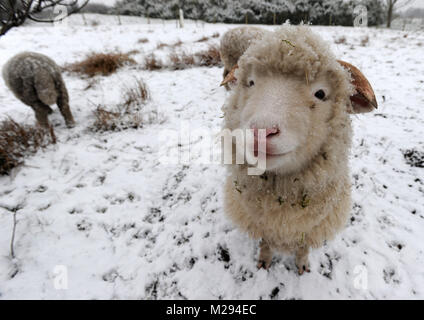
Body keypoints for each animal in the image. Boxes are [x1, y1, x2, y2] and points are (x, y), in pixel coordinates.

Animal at [220, 25, 376, 276]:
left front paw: (302, 265)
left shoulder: (312, 226)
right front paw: (264, 260)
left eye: (320, 93)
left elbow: (303, 248)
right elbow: (265, 243)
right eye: (251, 82)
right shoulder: (261, 223)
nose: (261, 131)